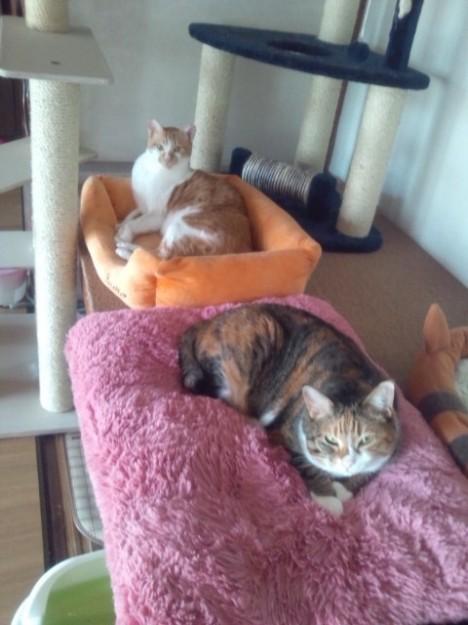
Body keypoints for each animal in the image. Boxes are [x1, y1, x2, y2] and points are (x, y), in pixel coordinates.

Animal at [115, 120, 252, 260]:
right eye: (160, 147)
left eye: (177, 149)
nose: (168, 158)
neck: (155, 171)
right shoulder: (142, 207)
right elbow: (131, 214)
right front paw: (121, 224)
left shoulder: (156, 215)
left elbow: (134, 223)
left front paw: (124, 233)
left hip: (181, 226)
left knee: (156, 256)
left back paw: (123, 247)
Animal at [179, 303, 400, 517]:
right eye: (329, 440)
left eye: (365, 440)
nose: (348, 463)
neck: (351, 381)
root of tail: (206, 322)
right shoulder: (286, 432)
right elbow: (307, 465)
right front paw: (329, 499)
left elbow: (372, 468)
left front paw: (345, 488)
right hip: (257, 342)